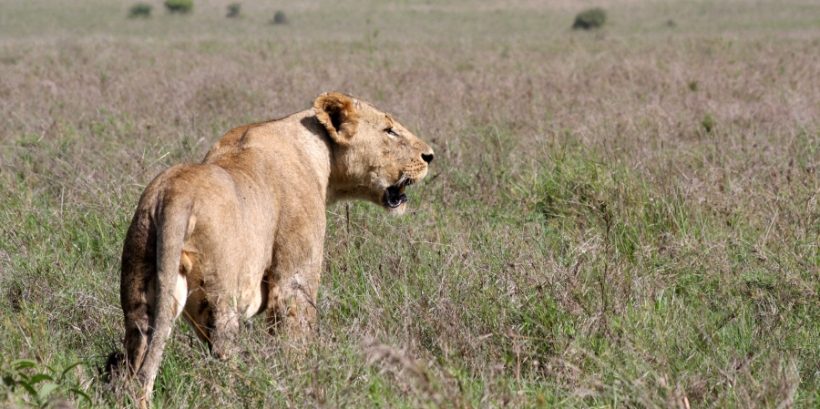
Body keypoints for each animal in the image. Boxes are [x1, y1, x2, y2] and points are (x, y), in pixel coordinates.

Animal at [119, 92, 436, 402]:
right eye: (389, 130)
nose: (430, 156)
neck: (321, 156)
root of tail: (174, 196)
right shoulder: (294, 278)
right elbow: (296, 337)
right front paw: (303, 383)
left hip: (141, 293)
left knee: (137, 363)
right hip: (220, 300)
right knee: (222, 361)